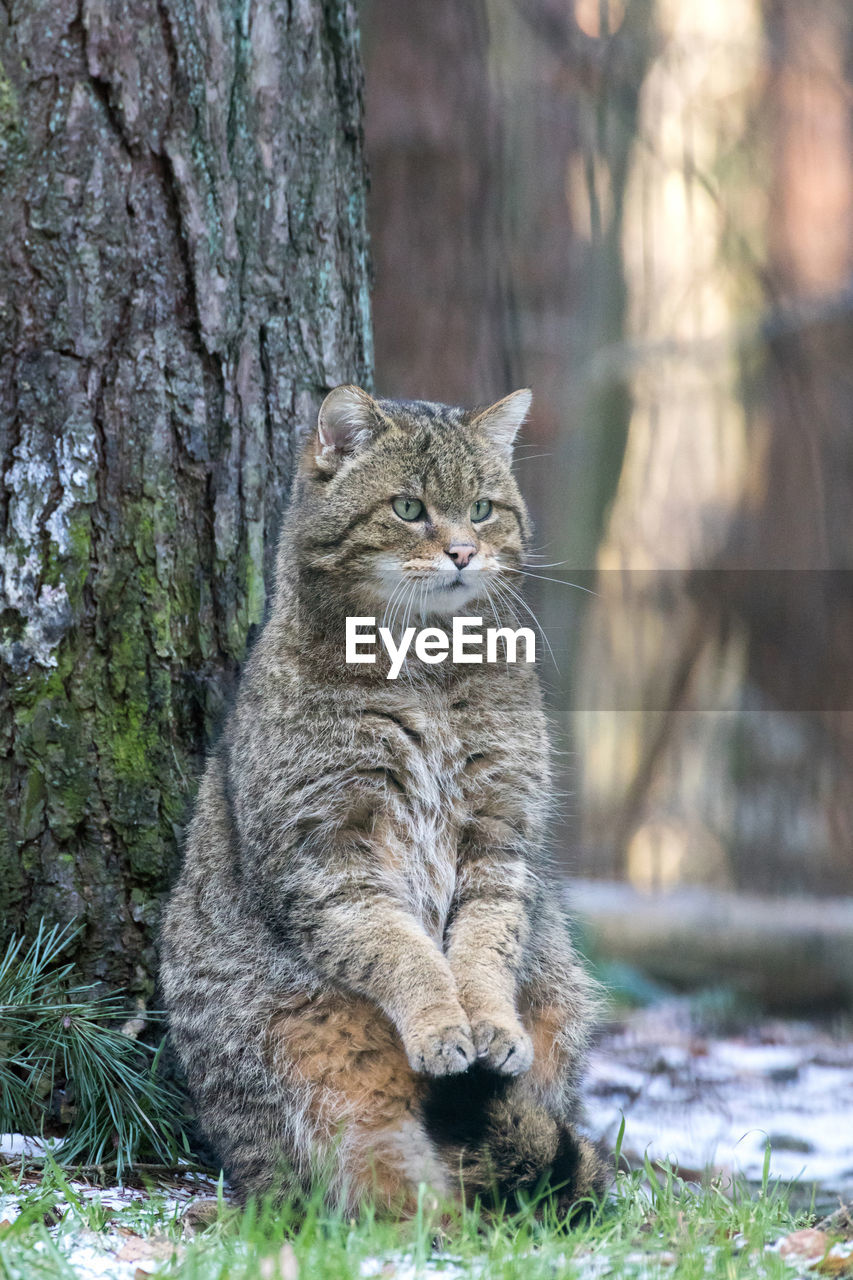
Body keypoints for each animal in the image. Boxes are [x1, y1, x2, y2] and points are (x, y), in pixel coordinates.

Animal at [161, 384, 604, 1213]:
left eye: (483, 508)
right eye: (408, 507)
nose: (462, 551)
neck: (424, 669)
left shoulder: (500, 838)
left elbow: (484, 948)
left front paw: (487, 1023)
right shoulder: (327, 853)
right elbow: (401, 951)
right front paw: (438, 1025)